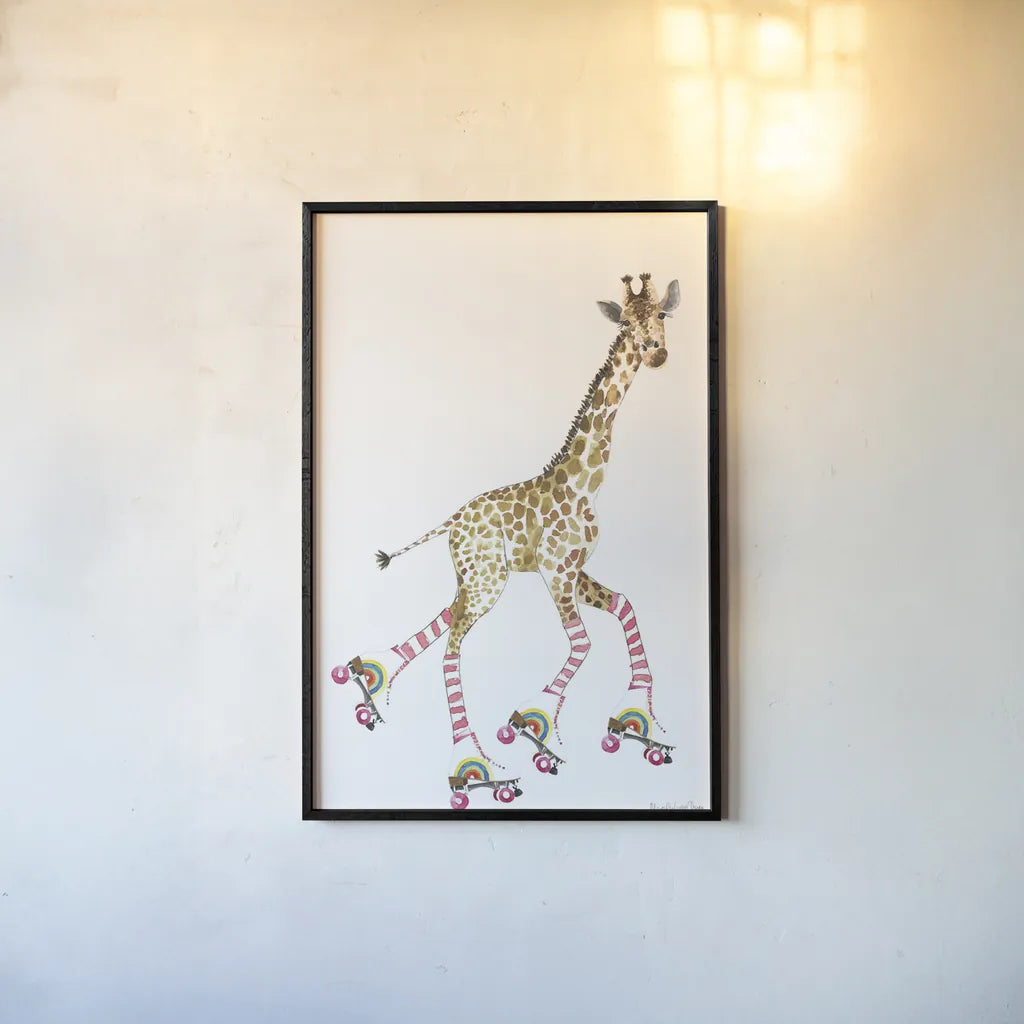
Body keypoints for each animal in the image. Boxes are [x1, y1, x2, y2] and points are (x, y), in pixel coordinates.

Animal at [332, 273, 680, 809]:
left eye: (661, 315)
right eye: (626, 321)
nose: (655, 352)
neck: (585, 482)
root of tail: (452, 522)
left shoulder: (574, 569)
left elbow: (624, 606)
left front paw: (635, 723)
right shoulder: (557, 569)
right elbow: (582, 641)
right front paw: (535, 727)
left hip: (475, 577)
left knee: (443, 622)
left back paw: (370, 680)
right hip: (488, 582)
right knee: (451, 646)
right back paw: (472, 767)